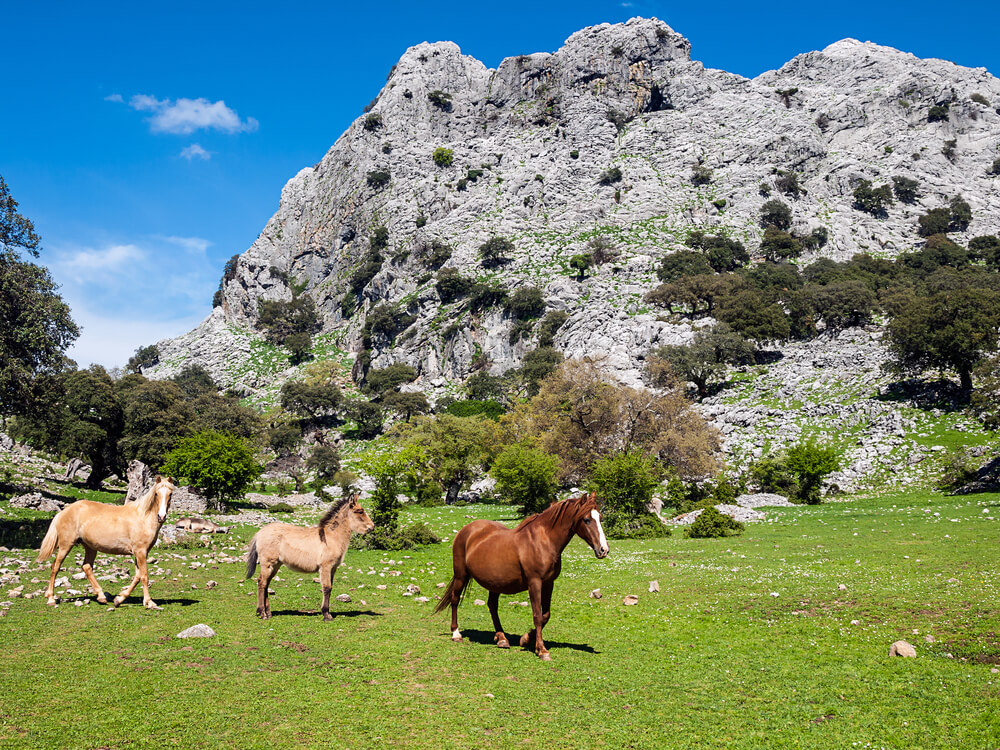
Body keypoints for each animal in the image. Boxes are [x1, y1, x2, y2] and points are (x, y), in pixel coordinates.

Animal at [37, 475, 177, 609]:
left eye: (170, 494)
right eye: (156, 494)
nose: (161, 516)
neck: (143, 517)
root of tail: (63, 512)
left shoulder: (141, 553)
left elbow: (137, 576)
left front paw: (119, 599)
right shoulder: (140, 552)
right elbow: (144, 576)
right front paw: (149, 602)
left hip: (90, 547)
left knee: (87, 567)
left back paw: (101, 597)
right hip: (66, 545)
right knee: (55, 567)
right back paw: (51, 599)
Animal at [245, 493, 374, 620]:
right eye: (360, 511)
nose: (372, 527)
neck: (331, 537)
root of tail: (260, 532)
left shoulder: (333, 568)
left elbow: (330, 588)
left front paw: (327, 613)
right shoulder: (325, 567)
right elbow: (327, 587)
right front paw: (326, 614)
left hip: (276, 565)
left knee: (266, 584)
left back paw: (268, 613)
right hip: (267, 563)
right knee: (261, 583)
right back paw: (262, 613)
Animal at [434, 491, 609, 660]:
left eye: (600, 518)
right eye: (587, 520)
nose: (604, 550)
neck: (543, 541)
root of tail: (466, 530)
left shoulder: (549, 583)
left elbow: (546, 615)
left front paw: (526, 639)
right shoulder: (535, 583)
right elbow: (537, 615)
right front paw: (542, 650)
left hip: (494, 583)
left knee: (492, 606)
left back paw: (501, 638)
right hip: (461, 575)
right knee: (455, 599)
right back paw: (456, 634)